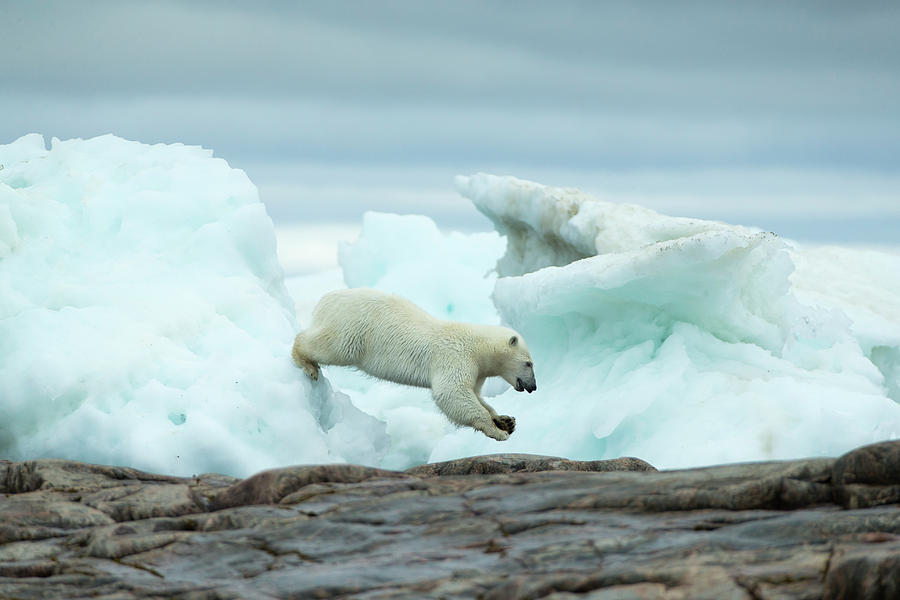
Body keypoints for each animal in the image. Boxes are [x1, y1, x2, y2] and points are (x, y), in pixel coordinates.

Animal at [294, 290, 536, 440]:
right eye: (529, 363)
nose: (533, 387)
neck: (477, 346)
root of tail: (326, 300)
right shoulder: (455, 358)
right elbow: (452, 393)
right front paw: (497, 431)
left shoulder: (476, 371)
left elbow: (475, 395)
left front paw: (505, 420)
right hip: (353, 329)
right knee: (331, 346)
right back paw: (306, 362)